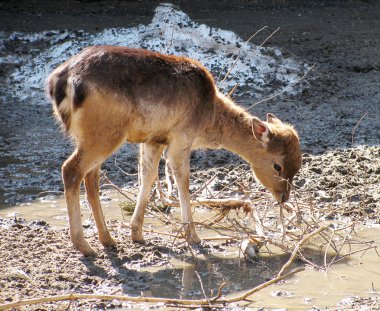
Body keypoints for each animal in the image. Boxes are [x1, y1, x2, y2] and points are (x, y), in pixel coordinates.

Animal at [47, 46, 302, 256]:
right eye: (278, 165)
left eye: (296, 168)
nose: (284, 197)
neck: (207, 119)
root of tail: (61, 81)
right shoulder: (181, 137)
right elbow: (183, 179)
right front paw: (194, 237)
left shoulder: (154, 140)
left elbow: (148, 176)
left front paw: (136, 234)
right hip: (104, 133)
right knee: (71, 170)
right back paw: (84, 246)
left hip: (90, 136)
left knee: (91, 176)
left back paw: (107, 239)